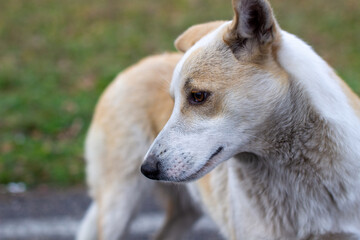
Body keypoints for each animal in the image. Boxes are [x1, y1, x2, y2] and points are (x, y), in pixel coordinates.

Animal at [76, 0, 360, 239]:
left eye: (198, 96)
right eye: (173, 102)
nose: (147, 169)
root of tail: (128, 70)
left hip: (182, 213)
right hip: (119, 207)